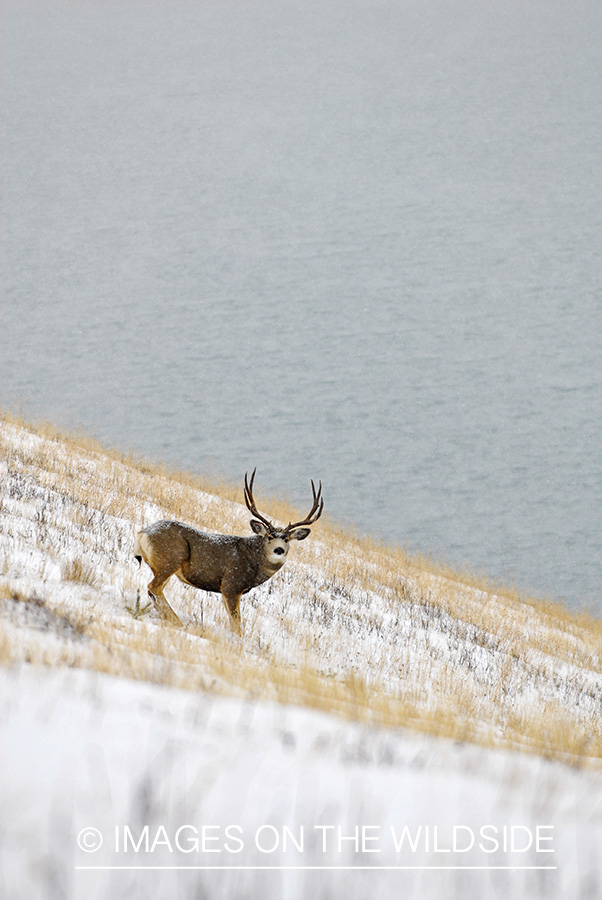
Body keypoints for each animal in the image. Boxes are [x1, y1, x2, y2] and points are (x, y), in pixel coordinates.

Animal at [134, 469, 323, 633]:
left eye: (286, 539)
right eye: (269, 536)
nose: (279, 549)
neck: (254, 564)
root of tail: (143, 533)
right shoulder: (231, 585)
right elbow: (237, 626)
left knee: (154, 591)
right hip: (171, 559)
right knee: (153, 587)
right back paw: (178, 622)